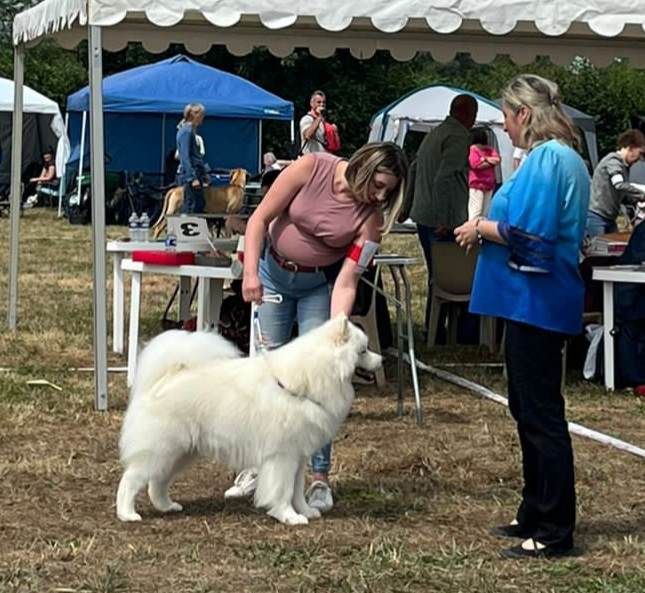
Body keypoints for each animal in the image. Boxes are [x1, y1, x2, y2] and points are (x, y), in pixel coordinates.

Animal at [116, 314, 382, 524]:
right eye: (363, 350)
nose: (382, 360)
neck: (309, 378)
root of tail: (167, 376)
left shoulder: (298, 457)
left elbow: (296, 490)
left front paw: (306, 511)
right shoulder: (283, 457)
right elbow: (284, 491)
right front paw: (289, 516)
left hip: (180, 453)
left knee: (157, 482)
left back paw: (166, 506)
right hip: (161, 449)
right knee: (130, 480)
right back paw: (127, 514)